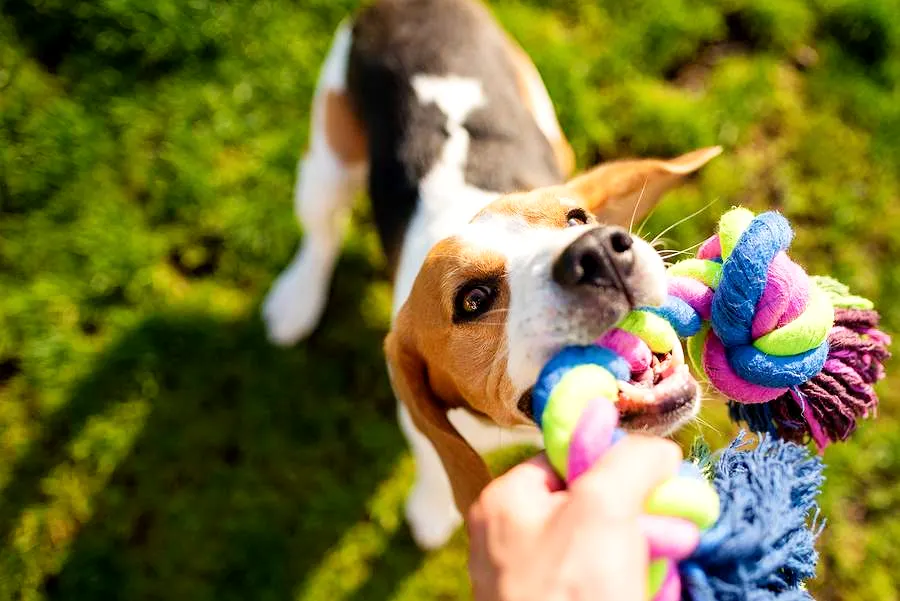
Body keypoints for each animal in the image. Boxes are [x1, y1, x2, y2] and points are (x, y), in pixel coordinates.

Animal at [264, 0, 720, 548]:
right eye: (473, 300)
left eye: (577, 219)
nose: (599, 253)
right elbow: (434, 459)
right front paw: (433, 508)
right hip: (327, 157)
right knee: (322, 230)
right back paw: (296, 300)